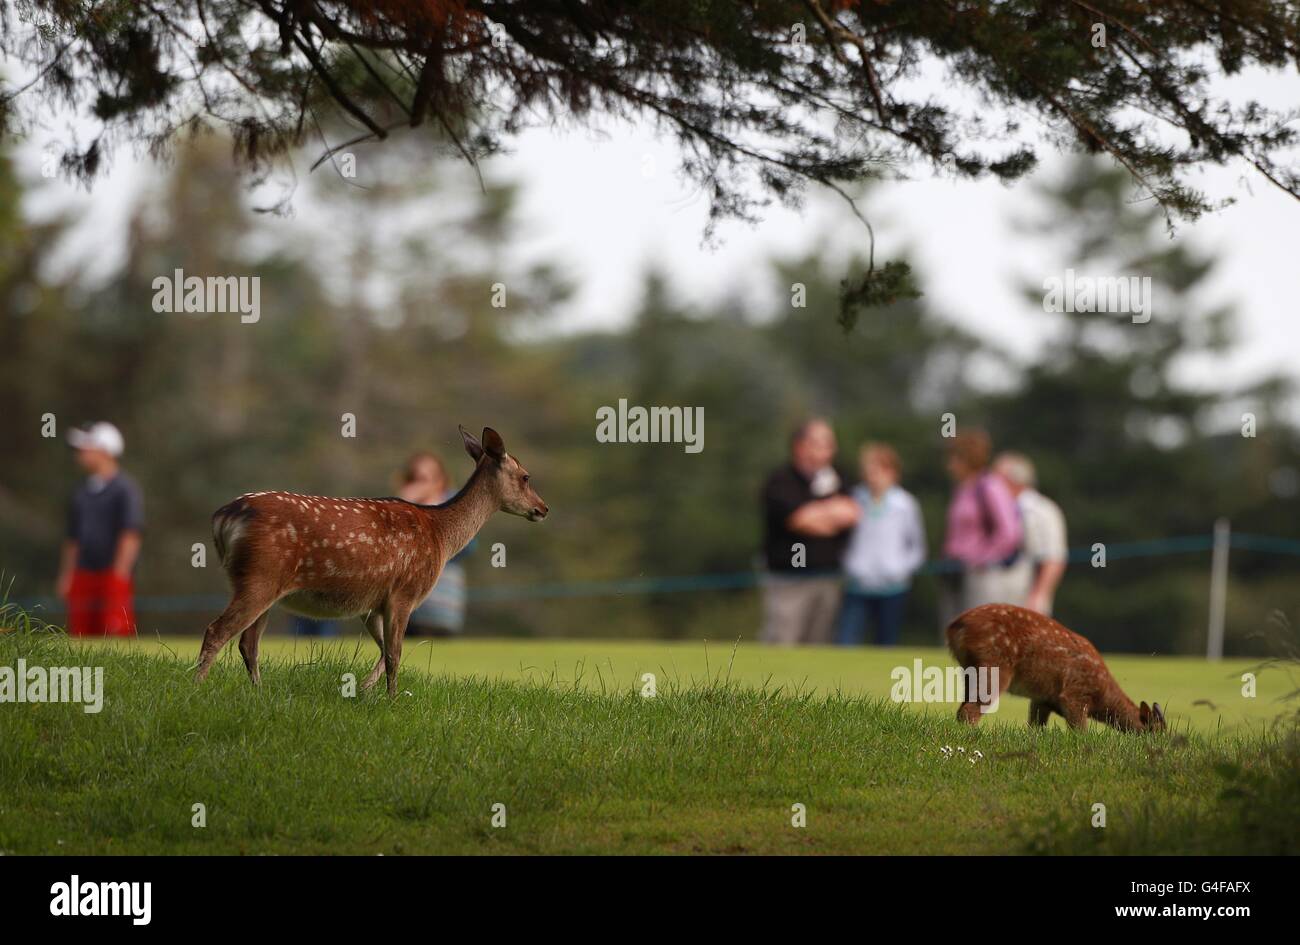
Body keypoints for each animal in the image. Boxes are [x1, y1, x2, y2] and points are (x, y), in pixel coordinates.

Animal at [192, 426, 543, 696]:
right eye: (526, 477)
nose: (543, 508)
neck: (441, 535)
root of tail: (222, 518)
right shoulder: (404, 592)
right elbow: (395, 653)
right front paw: (392, 698)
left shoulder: (373, 603)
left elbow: (384, 650)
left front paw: (364, 688)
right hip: (260, 575)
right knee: (217, 631)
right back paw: (197, 689)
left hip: (264, 585)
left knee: (247, 642)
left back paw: (259, 693)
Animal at [946, 605, 1170, 733]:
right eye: (1154, 731)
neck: (1102, 696)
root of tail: (954, 627)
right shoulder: (1075, 695)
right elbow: (1080, 732)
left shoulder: (1042, 699)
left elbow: (1035, 727)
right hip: (995, 665)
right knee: (969, 710)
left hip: (970, 670)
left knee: (962, 707)